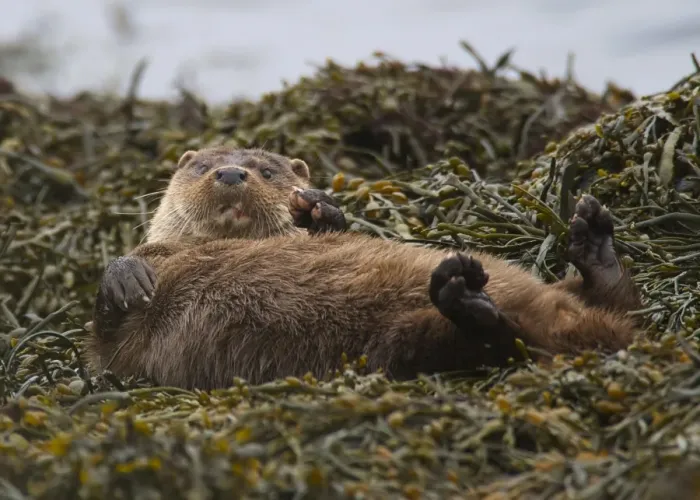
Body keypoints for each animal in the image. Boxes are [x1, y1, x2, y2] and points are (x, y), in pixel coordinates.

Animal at [86, 147, 642, 390]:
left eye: (266, 170)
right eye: (201, 167)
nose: (229, 173)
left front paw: (318, 211)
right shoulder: (125, 350)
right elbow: (105, 331)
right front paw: (127, 275)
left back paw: (594, 248)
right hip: (402, 341)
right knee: (506, 342)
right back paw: (466, 300)